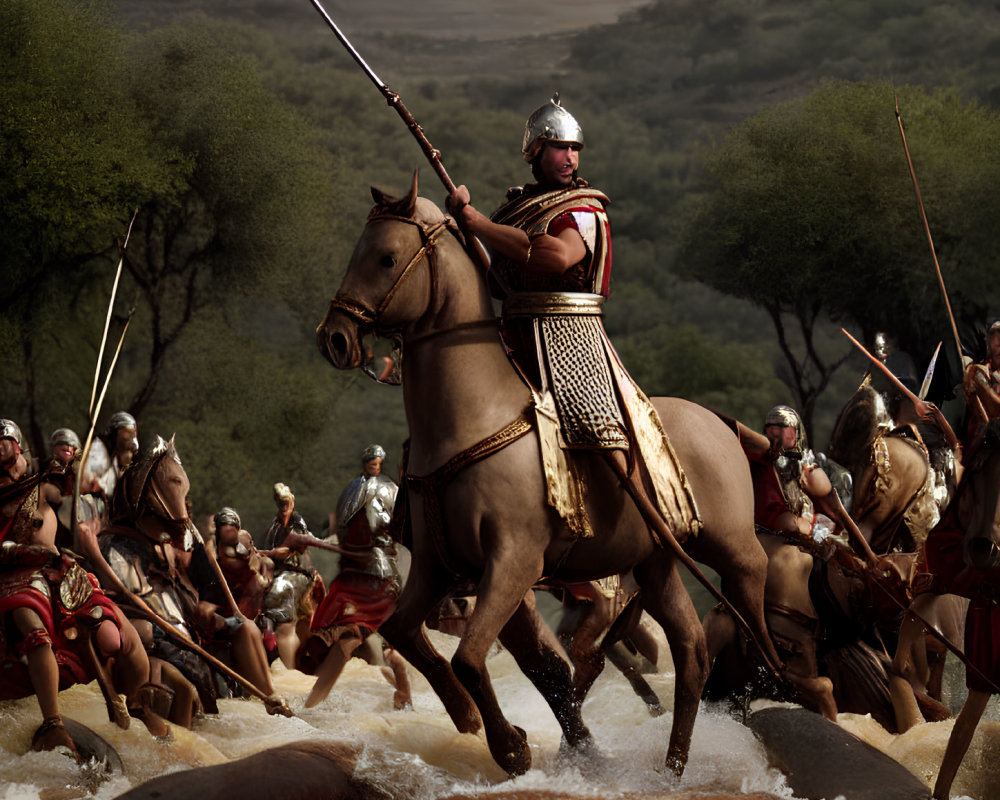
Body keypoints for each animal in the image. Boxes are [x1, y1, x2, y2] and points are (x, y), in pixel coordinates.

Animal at [316, 173, 776, 776]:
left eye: (387, 257)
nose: (335, 338)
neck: (473, 416)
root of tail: (720, 422)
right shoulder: (440, 567)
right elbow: (409, 634)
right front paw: (472, 718)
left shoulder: (513, 561)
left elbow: (472, 658)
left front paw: (512, 746)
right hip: (654, 562)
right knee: (691, 649)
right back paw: (673, 767)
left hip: (730, 545)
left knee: (750, 598)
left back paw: (765, 678)